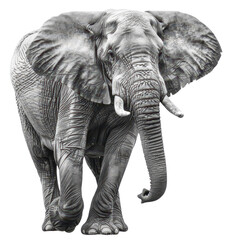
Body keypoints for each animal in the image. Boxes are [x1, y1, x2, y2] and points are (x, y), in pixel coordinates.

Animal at [10, 9, 221, 234]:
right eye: (111, 54)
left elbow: (119, 150)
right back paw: (50, 224)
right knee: (42, 158)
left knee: (98, 163)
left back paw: (117, 226)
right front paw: (59, 214)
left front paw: (99, 230)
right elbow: (69, 144)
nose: (143, 193)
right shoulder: (74, 83)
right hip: (23, 106)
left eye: (160, 54)